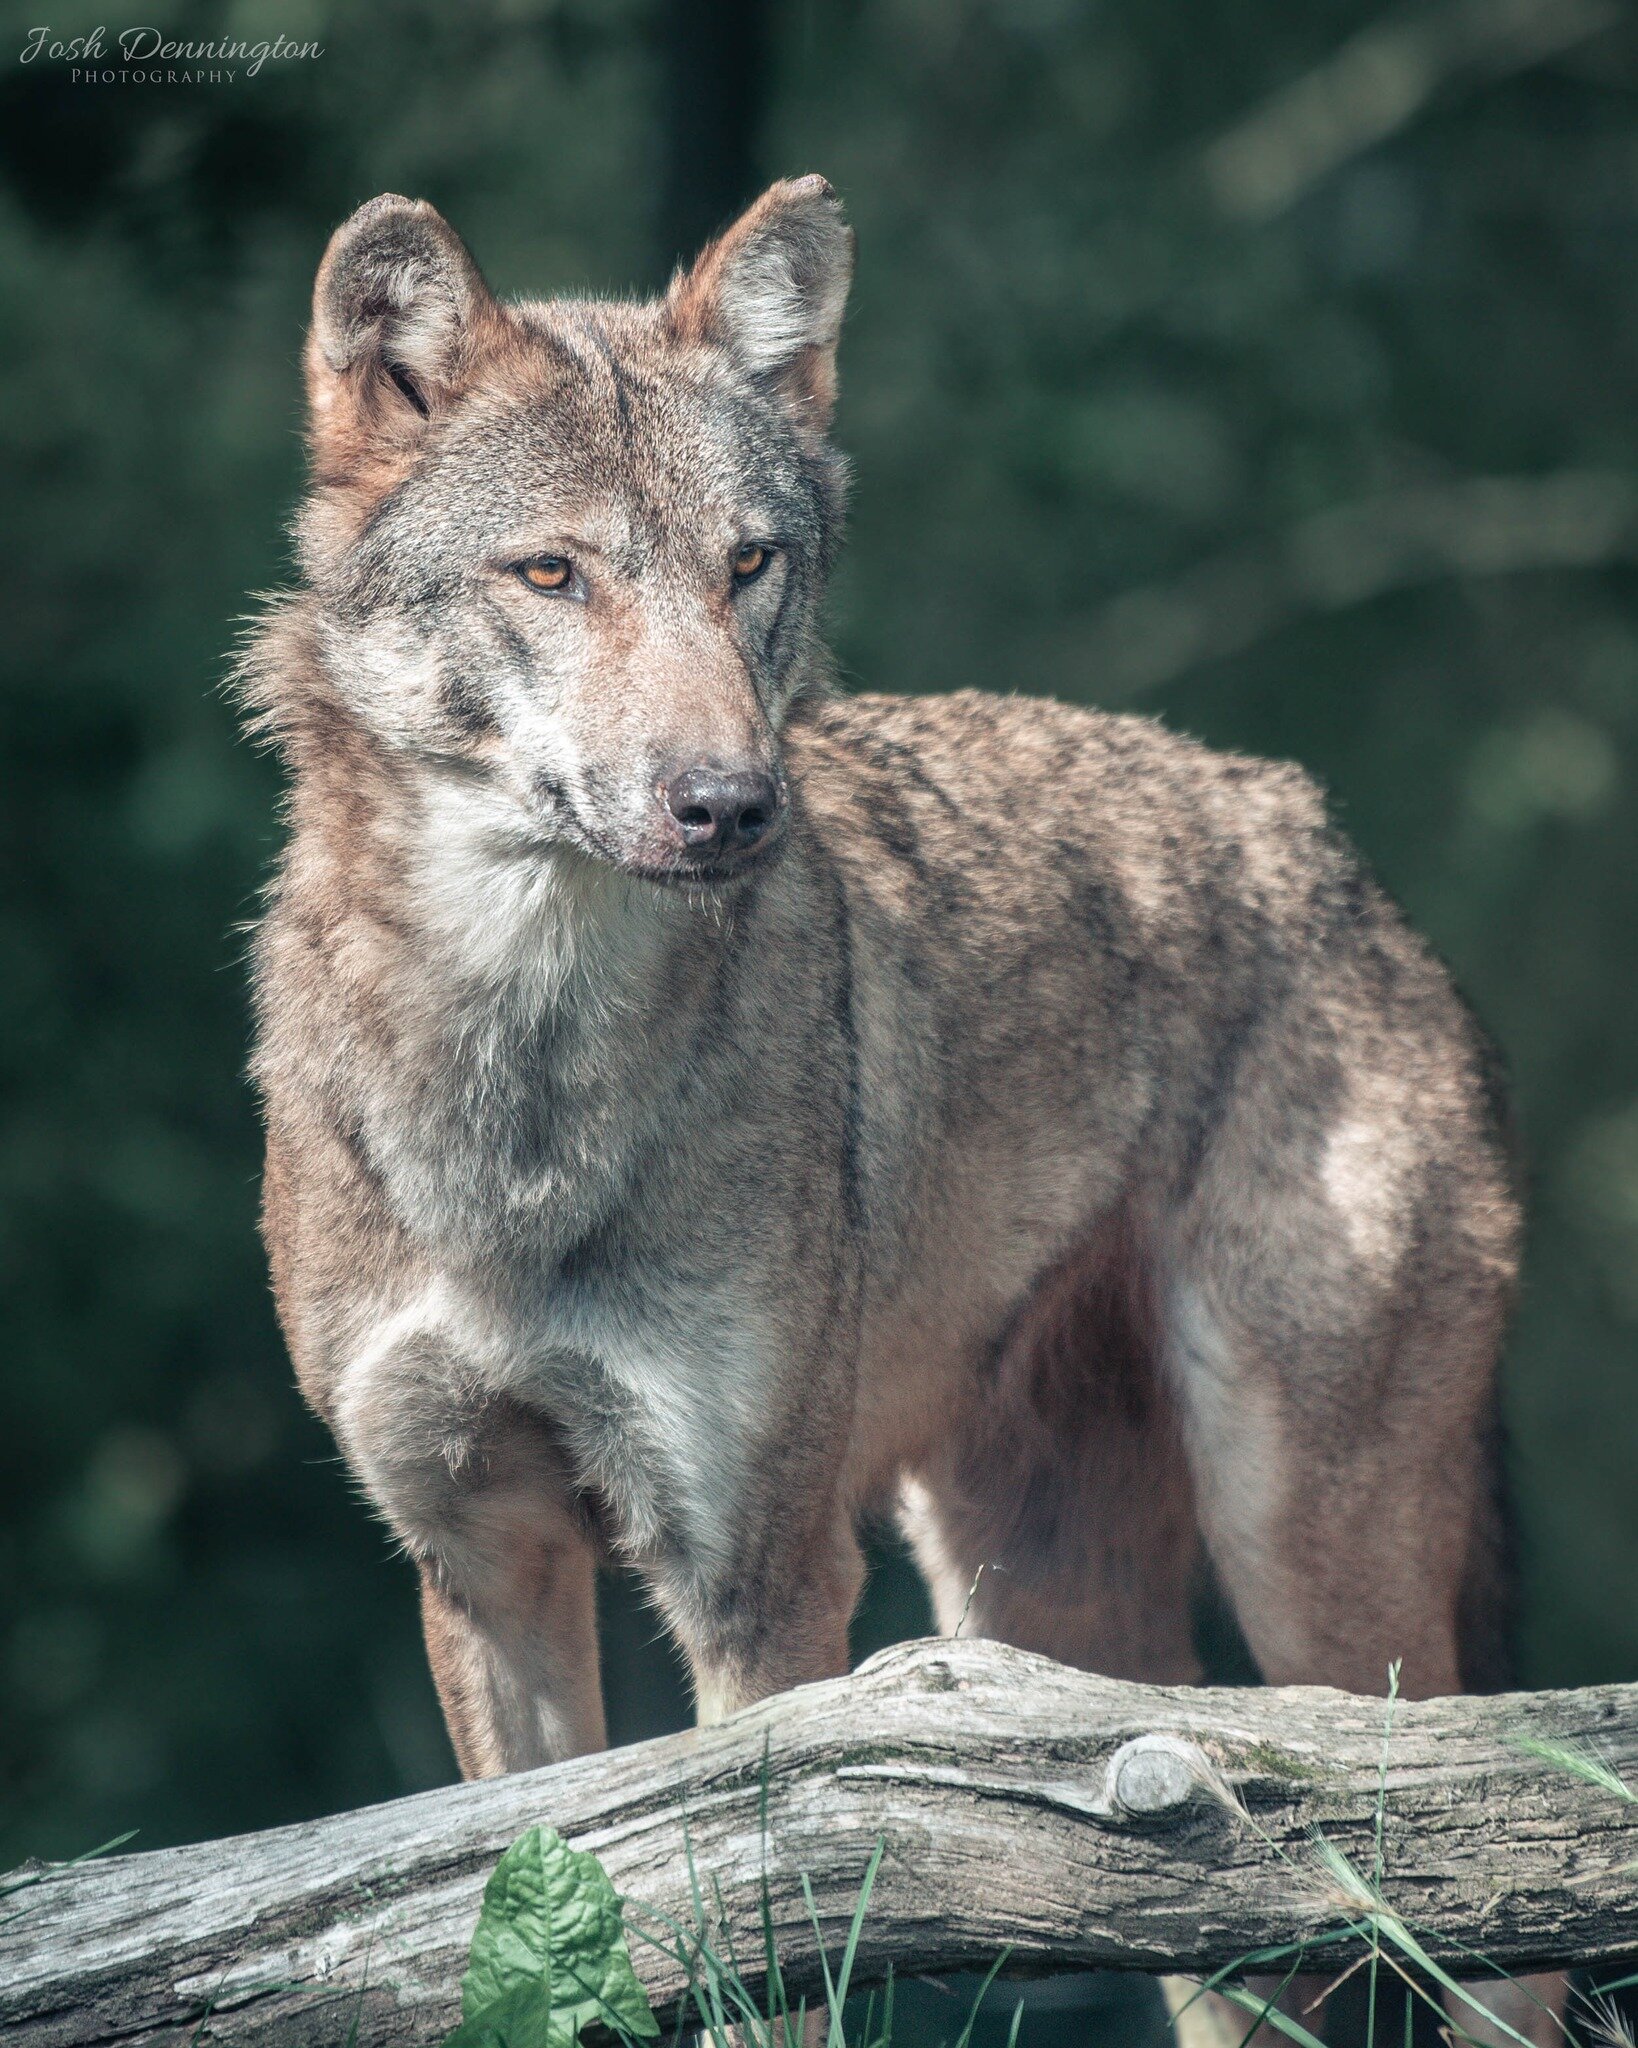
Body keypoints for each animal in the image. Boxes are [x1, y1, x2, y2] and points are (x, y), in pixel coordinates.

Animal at [241, 178, 1558, 2043]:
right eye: (552, 571)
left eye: (747, 565)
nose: (729, 804)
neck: (524, 1092)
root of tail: (1339, 854)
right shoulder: (483, 1563)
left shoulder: (758, 1589)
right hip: (1074, 1669)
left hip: (1311, 1567)